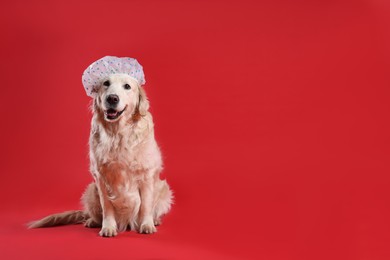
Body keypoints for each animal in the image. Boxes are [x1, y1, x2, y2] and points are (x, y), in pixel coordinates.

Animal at [29, 72, 172, 237]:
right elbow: (107, 207)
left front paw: (147, 224)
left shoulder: (146, 175)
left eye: (127, 86)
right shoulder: (101, 178)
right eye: (106, 83)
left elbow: (145, 206)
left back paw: (155, 220)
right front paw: (108, 227)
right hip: (91, 190)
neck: (118, 134)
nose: (112, 98)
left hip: (164, 189)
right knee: (95, 214)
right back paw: (92, 221)